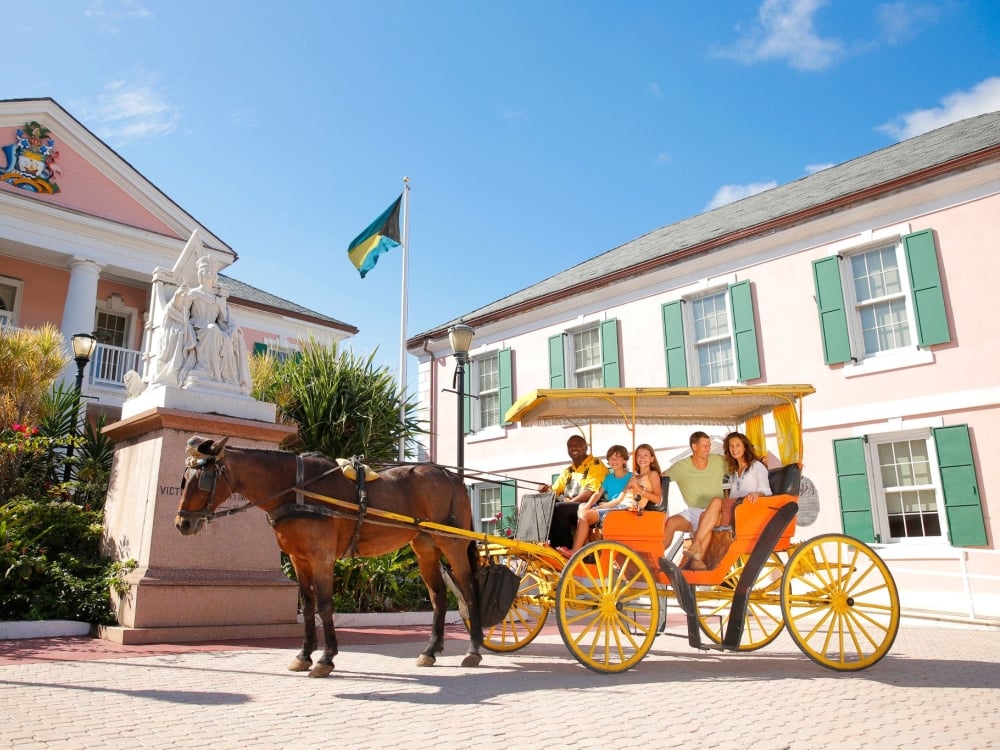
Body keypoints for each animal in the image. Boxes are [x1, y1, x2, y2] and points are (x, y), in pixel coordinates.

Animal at [173, 438, 484, 680]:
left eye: (202, 480)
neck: (296, 488)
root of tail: (450, 475)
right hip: (425, 548)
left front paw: (326, 658)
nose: (182, 524)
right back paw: (430, 650)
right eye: (183, 480)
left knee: (469, 591)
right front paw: (303, 655)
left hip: (453, 544)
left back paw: (474, 650)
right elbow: (308, 605)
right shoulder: (299, 559)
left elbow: (324, 605)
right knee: (438, 597)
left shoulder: (321, 557)